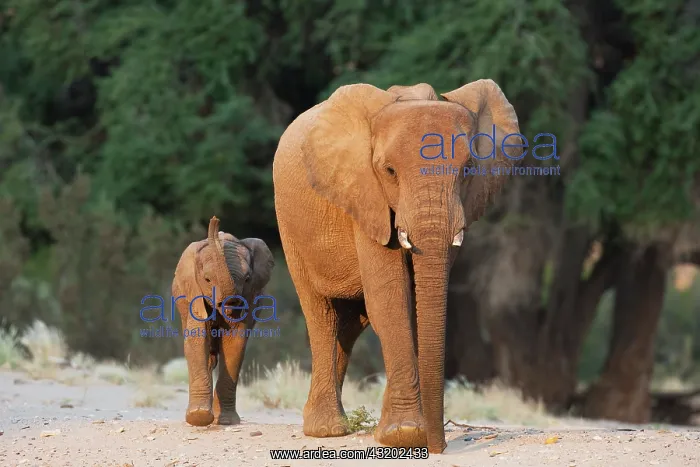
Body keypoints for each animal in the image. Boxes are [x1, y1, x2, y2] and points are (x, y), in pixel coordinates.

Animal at [172, 216, 274, 427]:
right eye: (207, 279)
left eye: (247, 278)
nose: (214, 219)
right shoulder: (193, 291)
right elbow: (197, 338)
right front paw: (199, 417)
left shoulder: (250, 297)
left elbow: (235, 341)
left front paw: (226, 422)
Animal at [272, 80, 522, 453]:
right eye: (389, 171)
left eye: (467, 170)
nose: (438, 447)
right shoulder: (365, 196)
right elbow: (392, 299)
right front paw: (405, 434)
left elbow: (412, 302)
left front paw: (397, 432)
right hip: (290, 227)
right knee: (322, 315)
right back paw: (327, 430)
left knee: (351, 324)